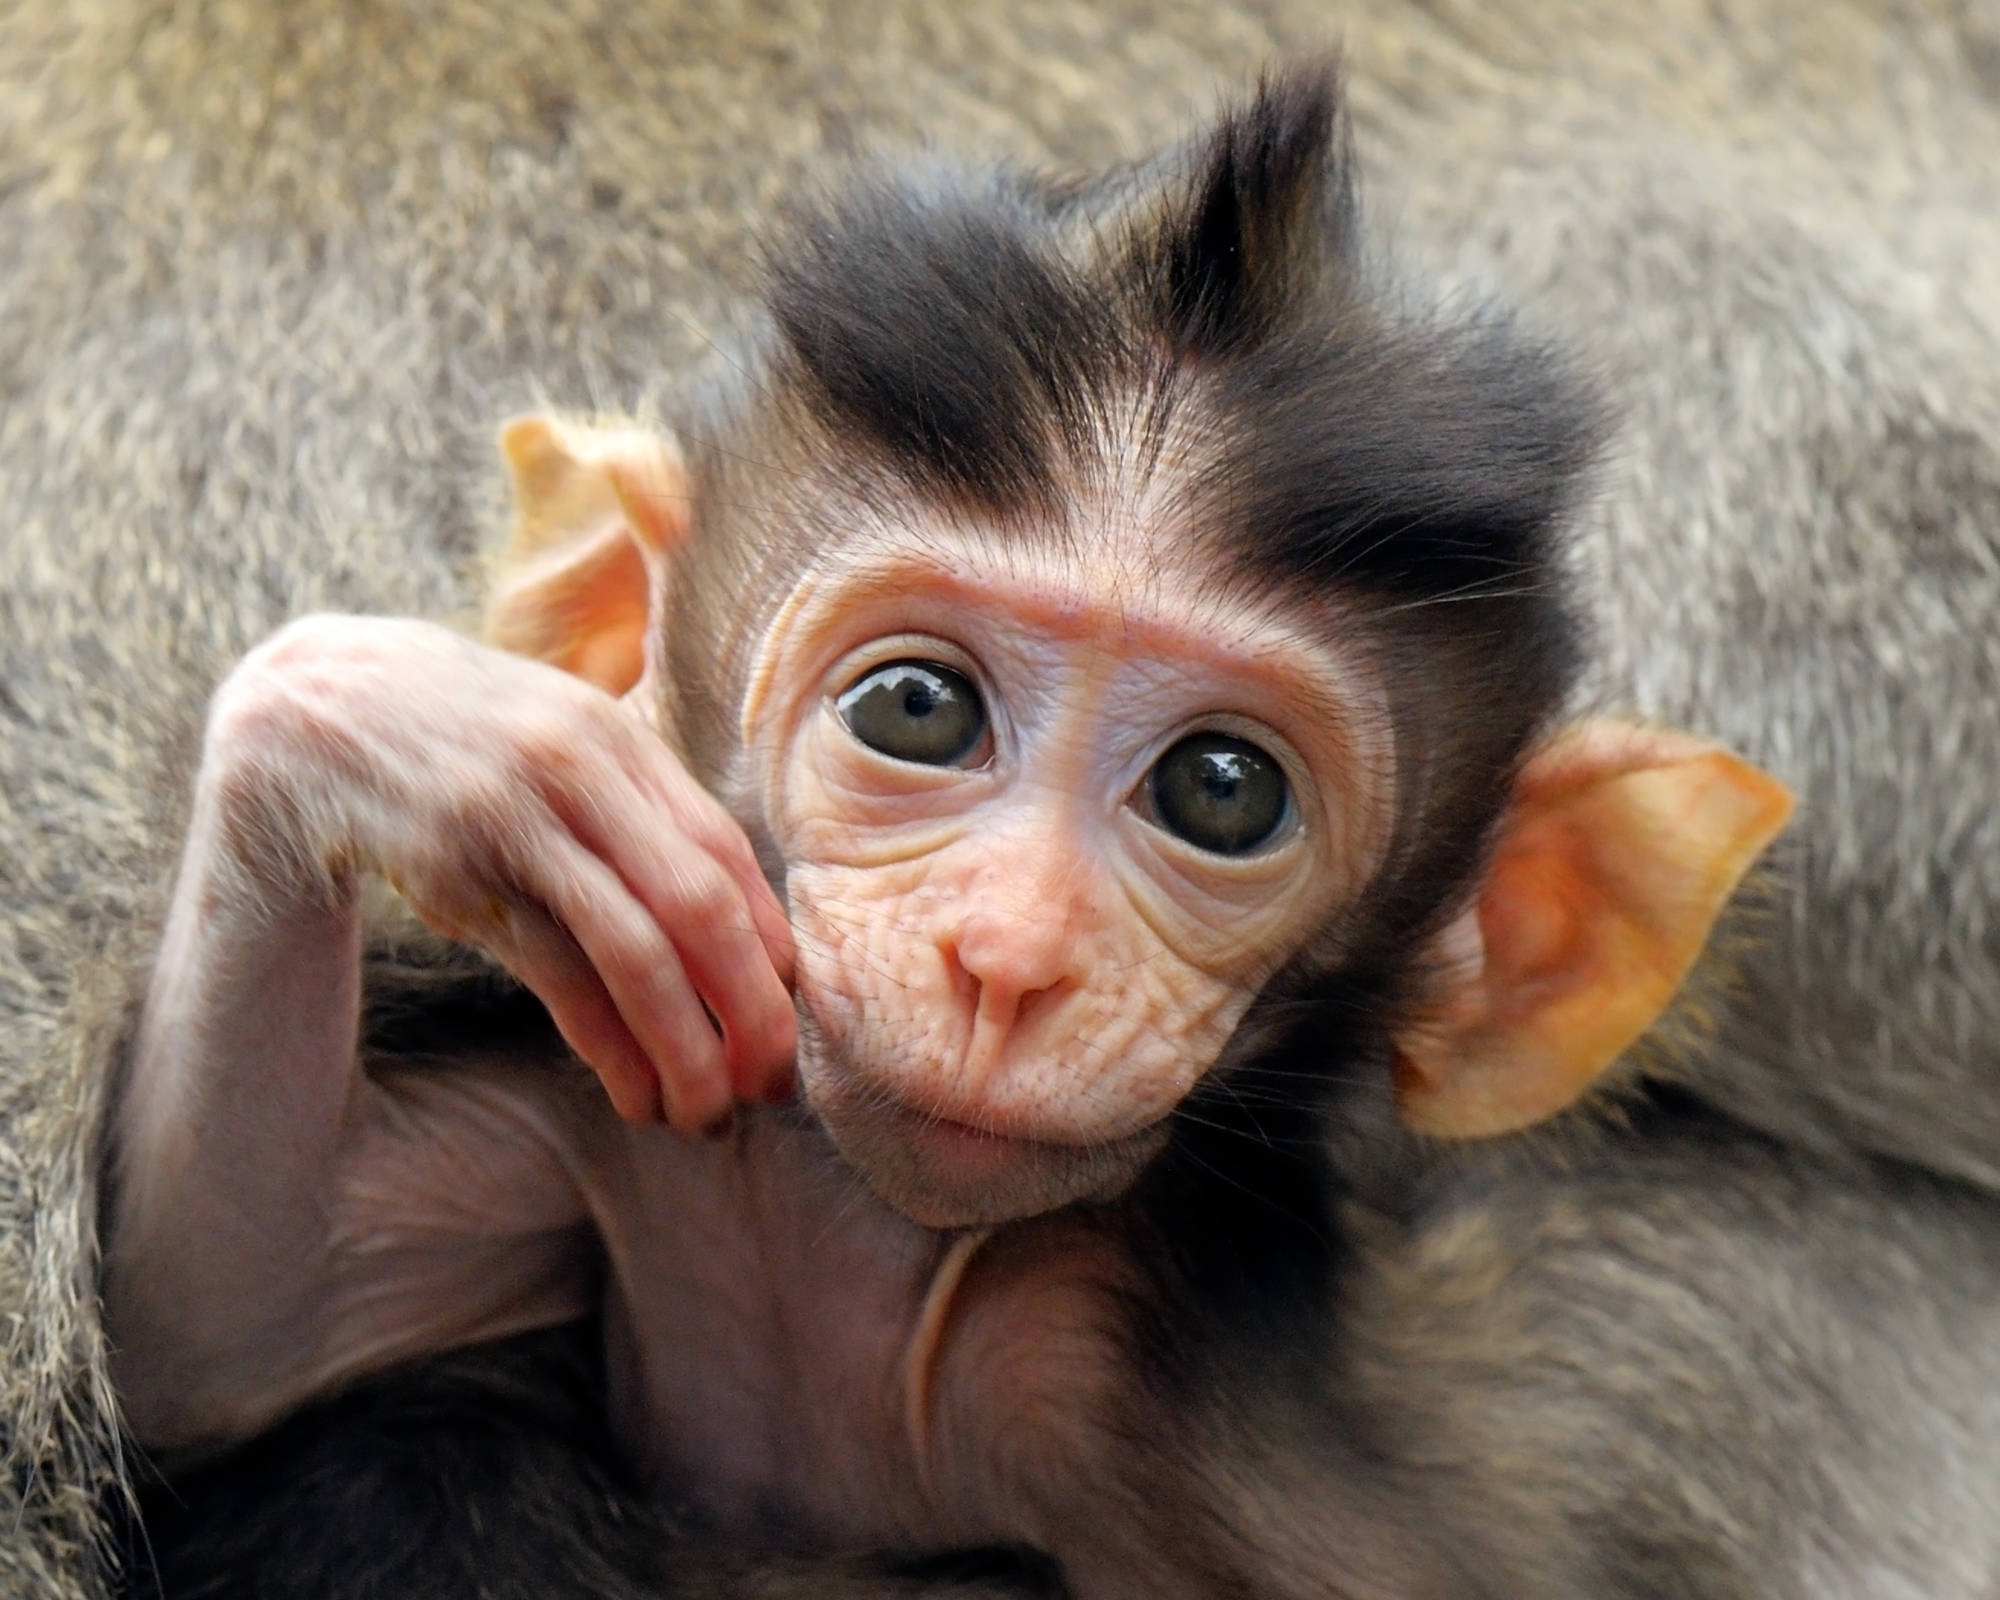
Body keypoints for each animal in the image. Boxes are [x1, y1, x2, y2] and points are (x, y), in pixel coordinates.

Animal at [109, 69, 1792, 1592]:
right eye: (918, 709)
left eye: (1222, 792)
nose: (1010, 959)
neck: (870, 1247)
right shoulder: (605, 1137)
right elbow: (220, 1321)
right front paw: (449, 744)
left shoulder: (1130, 1375)